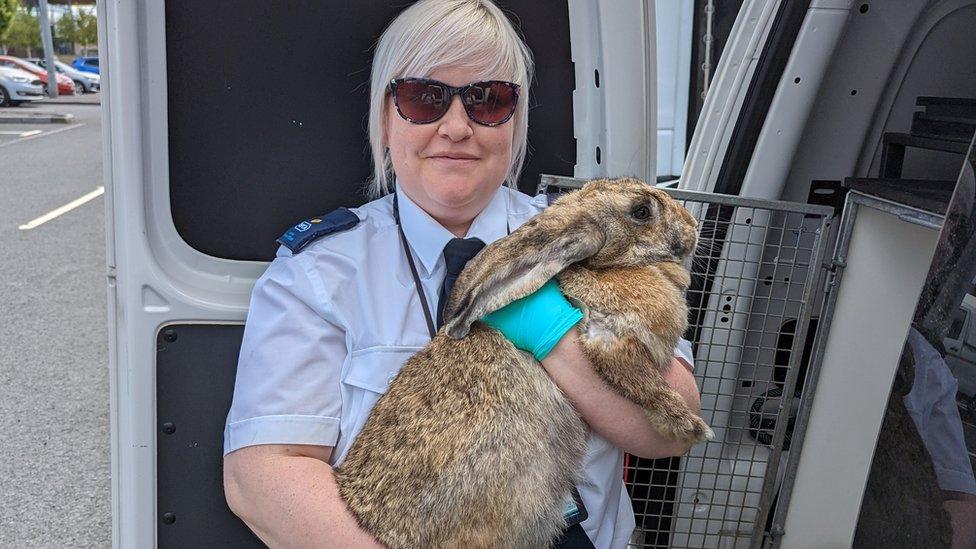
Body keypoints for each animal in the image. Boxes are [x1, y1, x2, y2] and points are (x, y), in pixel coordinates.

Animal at [336, 178, 708, 544]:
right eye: (641, 211)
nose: (693, 225)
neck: (604, 267)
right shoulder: (609, 340)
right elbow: (645, 384)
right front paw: (692, 426)